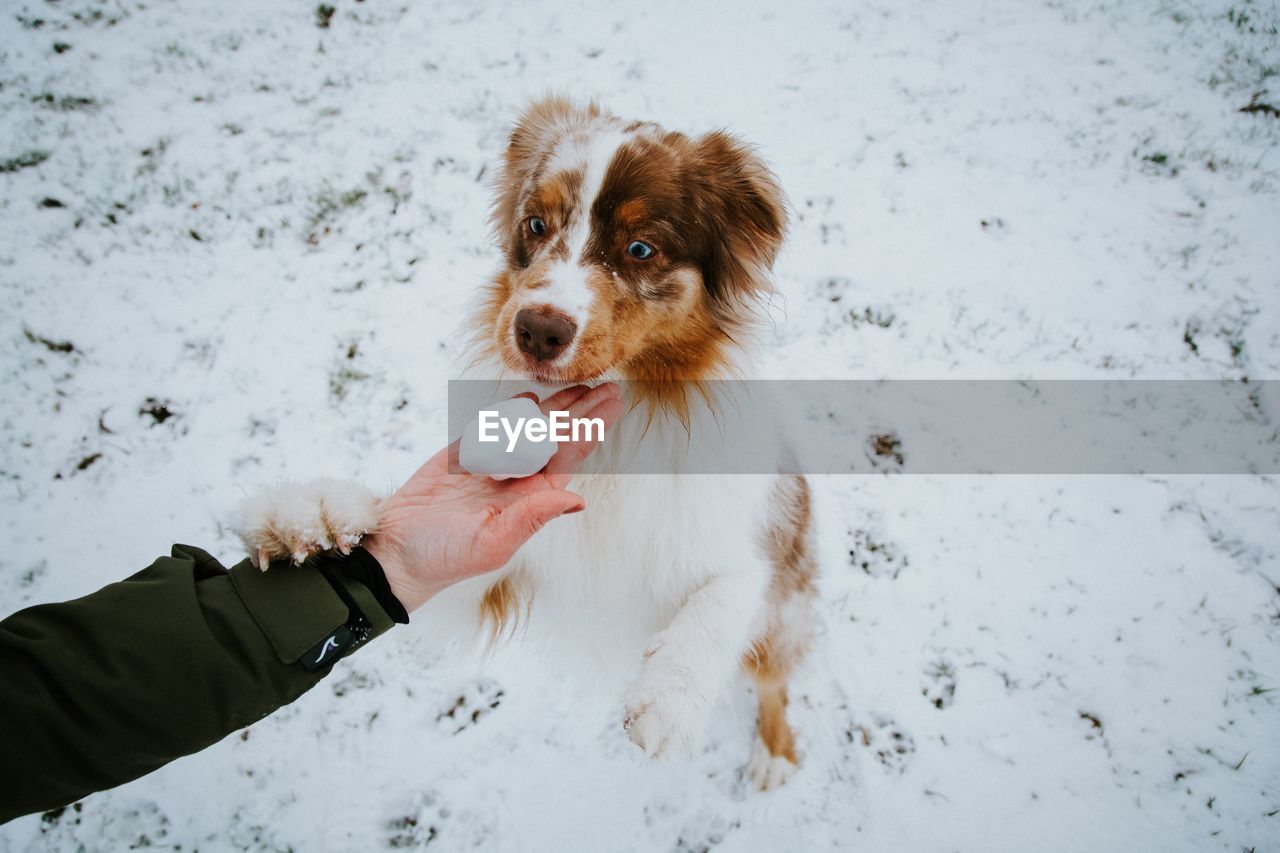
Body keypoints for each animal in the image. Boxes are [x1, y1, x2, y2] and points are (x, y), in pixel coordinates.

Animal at [239, 96, 814, 788]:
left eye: (640, 248)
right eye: (536, 224)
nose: (538, 330)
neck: (617, 432)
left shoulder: (749, 551)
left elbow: (727, 593)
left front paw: (670, 699)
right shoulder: (497, 563)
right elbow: (411, 558)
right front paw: (313, 515)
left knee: (772, 678)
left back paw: (774, 753)